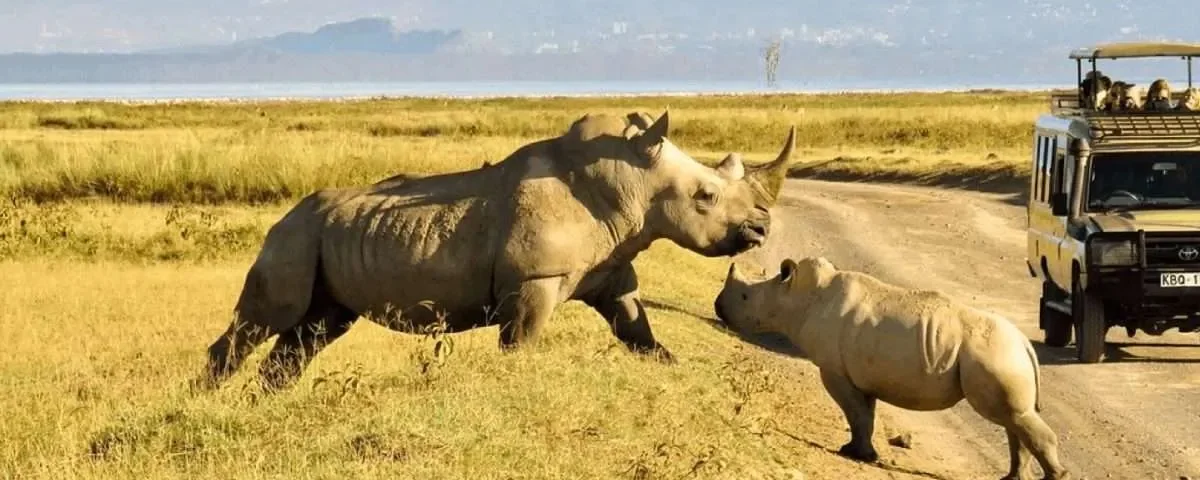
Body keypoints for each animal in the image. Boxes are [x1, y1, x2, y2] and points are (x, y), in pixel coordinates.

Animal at [195, 110, 798, 392]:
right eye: (706, 196)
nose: (760, 230)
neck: (632, 181)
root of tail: (280, 218)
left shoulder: (612, 270)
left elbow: (637, 331)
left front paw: (670, 366)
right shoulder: (533, 281)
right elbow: (521, 343)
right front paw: (516, 382)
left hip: (324, 238)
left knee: (314, 330)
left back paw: (261, 404)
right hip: (294, 236)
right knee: (269, 320)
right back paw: (207, 399)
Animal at [713, 257, 1071, 480]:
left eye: (744, 297)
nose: (718, 308)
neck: (798, 298)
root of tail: (1024, 343)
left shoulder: (834, 370)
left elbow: (855, 413)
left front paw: (853, 454)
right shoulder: (860, 374)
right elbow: (865, 416)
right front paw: (861, 453)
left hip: (994, 355)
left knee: (1013, 416)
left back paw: (1056, 476)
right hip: (1001, 355)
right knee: (1013, 418)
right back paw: (1012, 478)